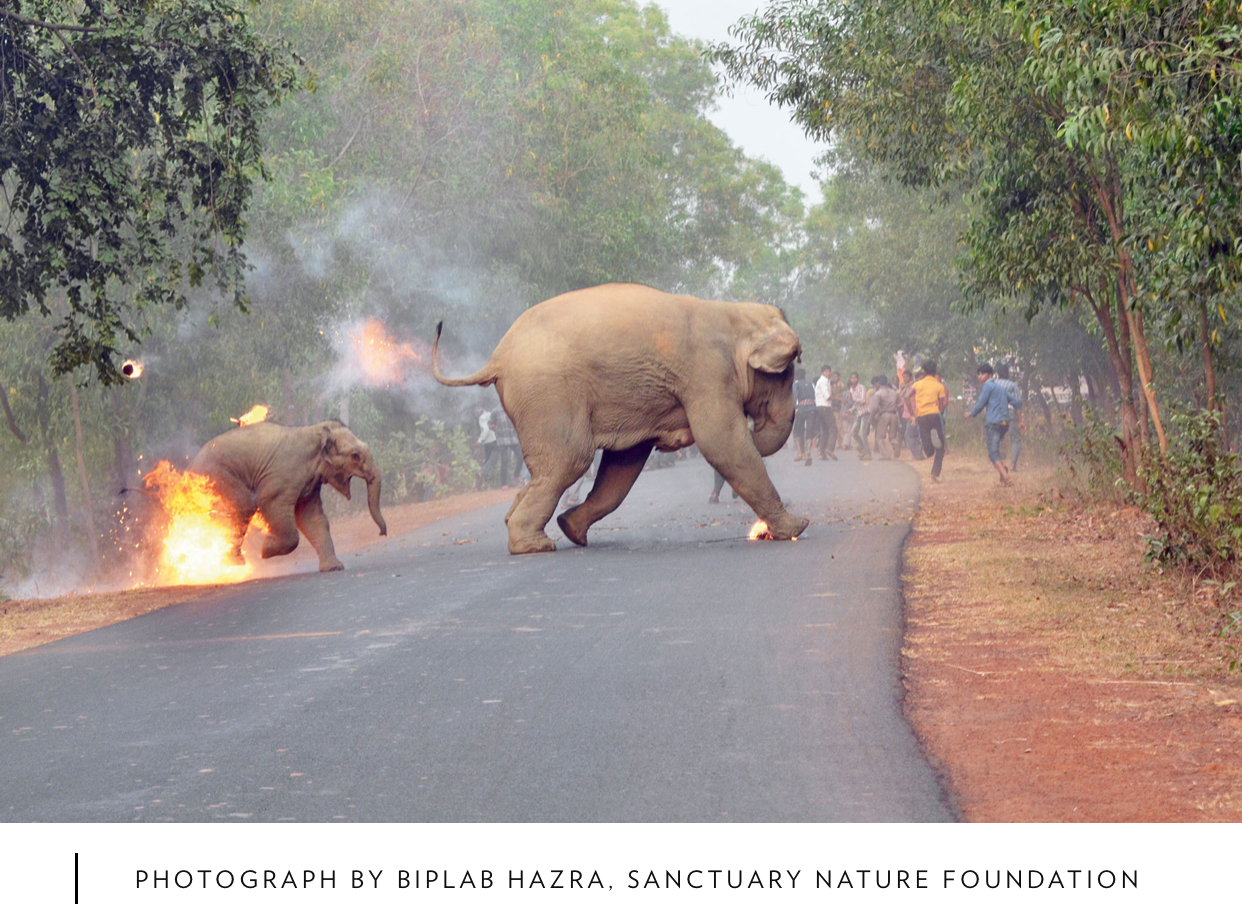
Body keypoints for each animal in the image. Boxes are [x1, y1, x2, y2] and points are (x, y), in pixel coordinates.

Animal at [185, 417, 382, 568]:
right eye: (355, 456)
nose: (382, 534)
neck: (314, 431)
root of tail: (191, 466)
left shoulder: (310, 485)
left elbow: (312, 517)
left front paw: (334, 568)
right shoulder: (281, 478)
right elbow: (270, 504)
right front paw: (265, 549)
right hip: (217, 476)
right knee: (244, 505)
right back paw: (234, 563)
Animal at [432, 280, 809, 548]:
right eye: (786, 375)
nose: (755, 424)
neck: (734, 313)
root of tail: (498, 356)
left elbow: (624, 464)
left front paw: (572, 528)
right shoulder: (707, 374)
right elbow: (722, 443)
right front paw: (797, 526)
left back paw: (535, 531)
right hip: (548, 393)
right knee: (571, 458)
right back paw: (533, 546)